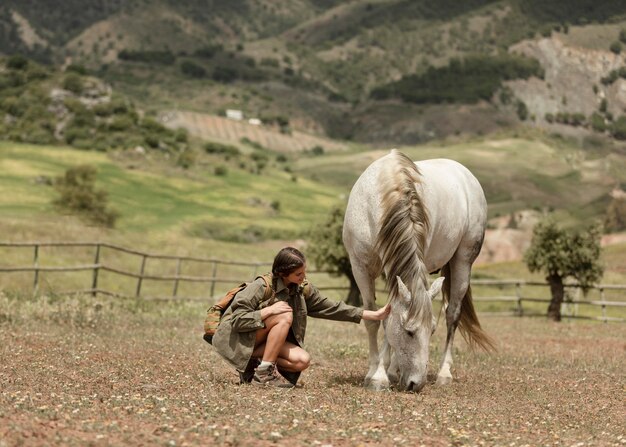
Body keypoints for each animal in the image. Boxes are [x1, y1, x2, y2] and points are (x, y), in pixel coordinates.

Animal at [342, 150, 492, 392]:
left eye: (431, 331)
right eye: (410, 331)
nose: (416, 384)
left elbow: (388, 317)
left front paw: (381, 374)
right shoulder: (359, 267)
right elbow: (375, 319)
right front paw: (376, 373)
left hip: (463, 260)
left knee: (452, 314)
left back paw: (443, 373)